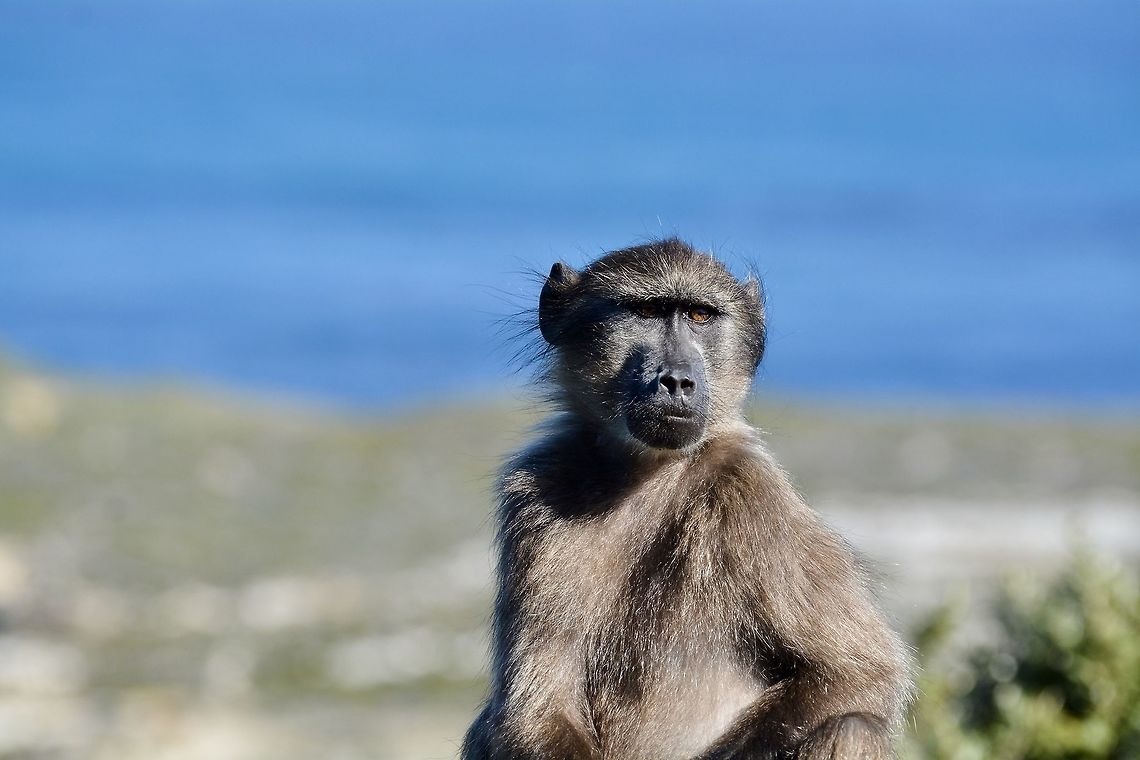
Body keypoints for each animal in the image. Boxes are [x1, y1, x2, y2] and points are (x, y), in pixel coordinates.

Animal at [462, 239, 912, 760]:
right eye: (647, 312)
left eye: (699, 315)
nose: (677, 381)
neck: (645, 472)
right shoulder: (538, 493)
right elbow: (532, 708)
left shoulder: (754, 495)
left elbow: (858, 672)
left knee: (852, 727)